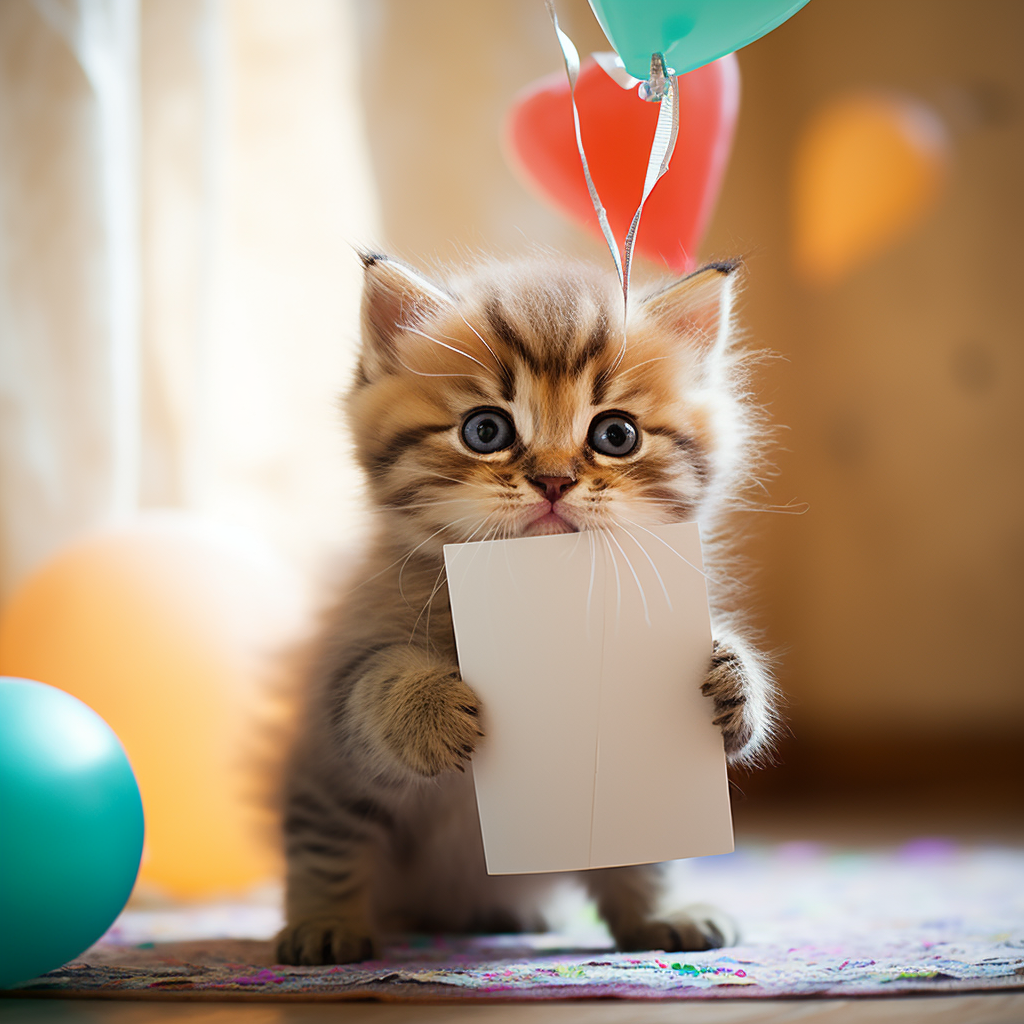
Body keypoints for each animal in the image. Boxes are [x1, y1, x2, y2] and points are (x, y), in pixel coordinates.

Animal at [276, 251, 770, 962]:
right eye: (486, 430)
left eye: (615, 434)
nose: (554, 479)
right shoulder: (339, 677)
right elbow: (371, 685)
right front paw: (426, 708)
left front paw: (737, 681)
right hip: (327, 777)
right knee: (327, 845)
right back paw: (325, 926)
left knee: (637, 856)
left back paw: (653, 918)